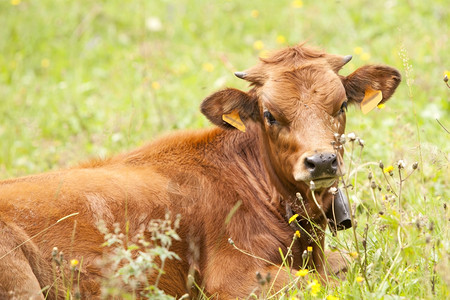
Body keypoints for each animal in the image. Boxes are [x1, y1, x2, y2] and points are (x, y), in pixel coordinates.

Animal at [0, 43, 400, 298]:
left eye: (340, 106)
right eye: (269, 115)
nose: (321, 161)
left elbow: (346, 267)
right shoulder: (235, 279)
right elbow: (338, 285)